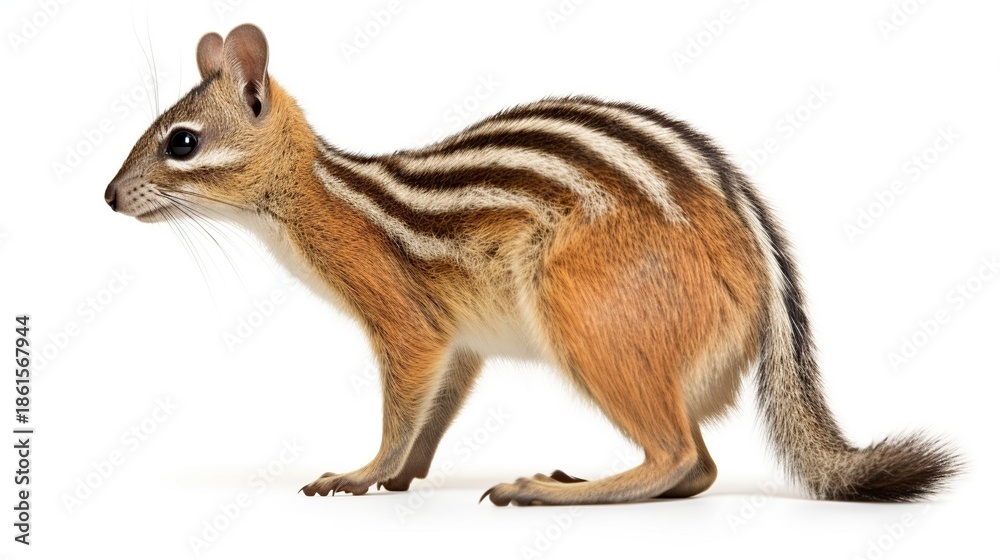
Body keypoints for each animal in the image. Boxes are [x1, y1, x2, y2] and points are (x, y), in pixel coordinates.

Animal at [105, 24, 959, 506]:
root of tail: (755, 256)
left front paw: (359, 473)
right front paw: (401, 476)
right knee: (700, 467)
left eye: (181, 141)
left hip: (589, 321)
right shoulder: (459, 340)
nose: (109, 197)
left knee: (681, 456)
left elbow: (401, 404)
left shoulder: (405, 321)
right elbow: (438, 408)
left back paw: (545, 491)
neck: (323, 191)